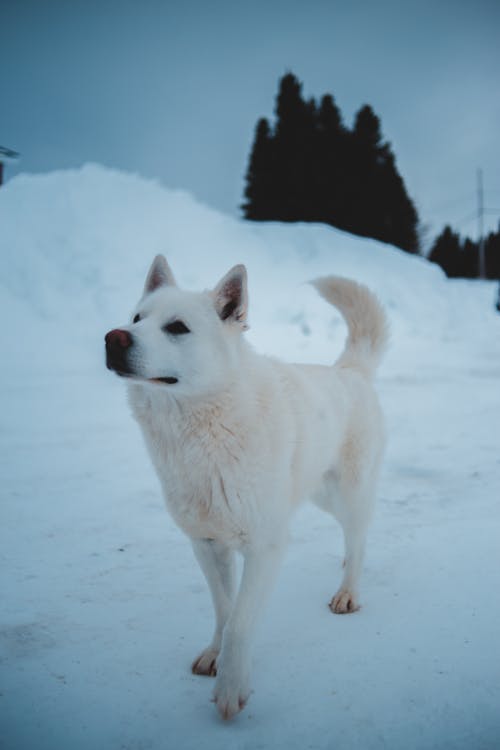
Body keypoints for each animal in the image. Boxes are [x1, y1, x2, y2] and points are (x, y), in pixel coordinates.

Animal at [104, 258, 386, 724]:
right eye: (136, 318)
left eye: (177, 327)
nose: (113, 338)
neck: (202, 432)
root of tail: (350, 370)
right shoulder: (206, 543)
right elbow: (224, 608)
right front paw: (214, 656)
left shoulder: (266, 547)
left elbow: (240, 622)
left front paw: (231, 688)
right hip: (317, 494)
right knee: (353, 537)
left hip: (347, 493)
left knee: (362, 535)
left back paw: (348, 591)